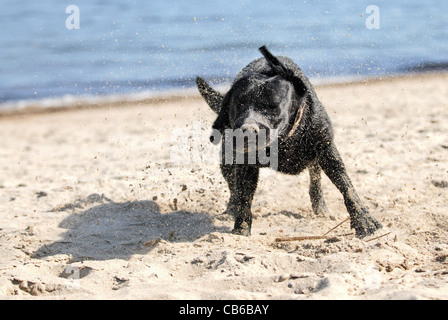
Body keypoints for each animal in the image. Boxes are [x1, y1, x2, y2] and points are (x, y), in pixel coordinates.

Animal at [196, 45, 382, 238]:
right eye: (238, 105)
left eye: (272, 106)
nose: (246, 132)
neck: (283, 141)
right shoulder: (245, 164)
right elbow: (244, 197)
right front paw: (241, 227)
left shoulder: (327, 150)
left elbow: (347, 188)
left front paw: (363, 219)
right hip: (226, 160)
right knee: (233, 188)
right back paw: (230, 209)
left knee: (315, 179)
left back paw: (320, 207)